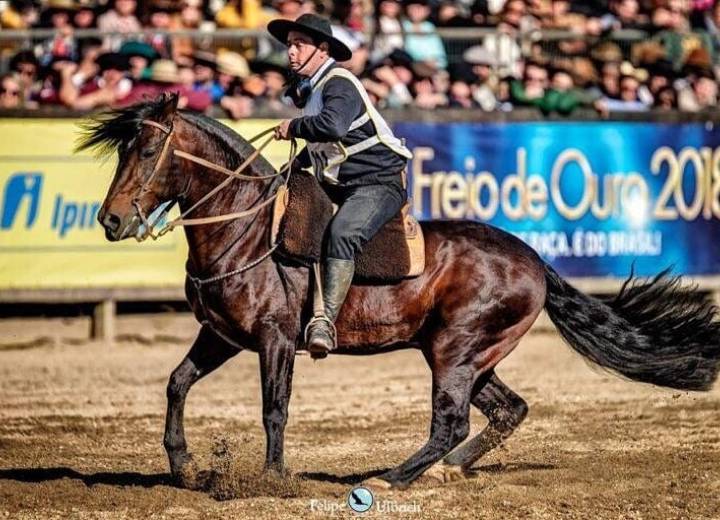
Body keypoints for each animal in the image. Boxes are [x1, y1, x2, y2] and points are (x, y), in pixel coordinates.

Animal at [79, 94, 720, 492]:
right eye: (122, 149)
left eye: (147, 150)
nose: (110, 220)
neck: (248, 225)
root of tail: (535, 260)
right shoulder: (222, 335)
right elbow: (177, 382)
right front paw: (183, 464)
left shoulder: (275, 340)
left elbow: (274, 409)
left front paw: (272, 478)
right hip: (471, 358)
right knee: (507, 410)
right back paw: (445, 472)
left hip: (455, 353)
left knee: (450, 424)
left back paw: (392, 476)